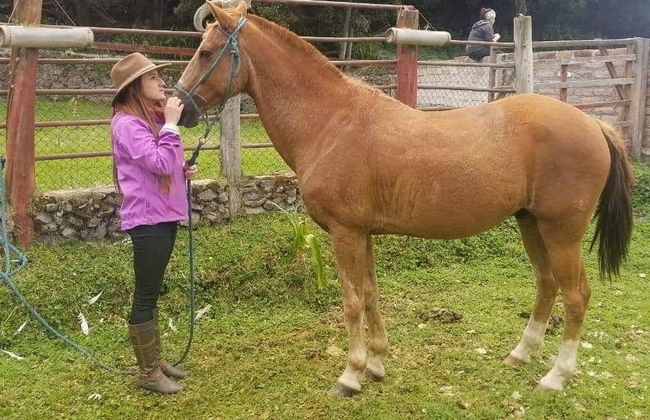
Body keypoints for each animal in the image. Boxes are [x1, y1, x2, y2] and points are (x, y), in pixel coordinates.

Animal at [174, 1, 635, 397]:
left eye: (206, 51)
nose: (181, 108)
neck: (332, 122)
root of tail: (594, 124)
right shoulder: (363, 233)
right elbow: (371, 294)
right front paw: (376, 364)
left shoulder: (345, 233)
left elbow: (352, 300)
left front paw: (350, 374)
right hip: (530, 223)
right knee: (546, 284)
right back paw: (521, 354)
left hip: (562, 232)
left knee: (576, 295)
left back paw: (556, 376)